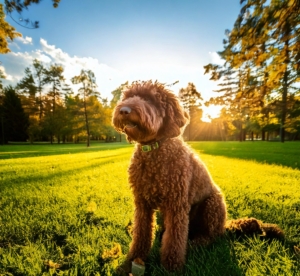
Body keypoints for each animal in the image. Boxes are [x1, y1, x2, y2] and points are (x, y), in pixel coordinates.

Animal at [110, 81, 284, 272]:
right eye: (127, 97)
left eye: (149, 99)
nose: (124, 110)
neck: (154, 150)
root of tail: (225, 226)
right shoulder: (142, 204)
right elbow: (141, 234)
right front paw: (132, 260)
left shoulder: (177, 205)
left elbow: (174, 240)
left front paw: (171, 267)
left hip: (212, 204)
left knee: (211, 237)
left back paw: (196, 243)